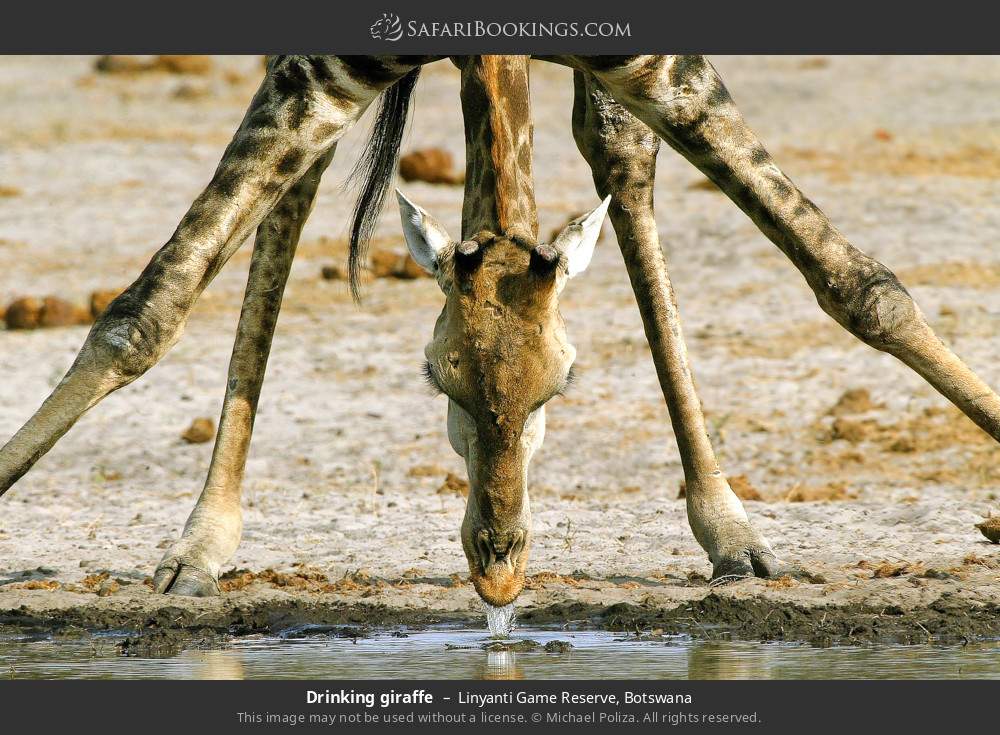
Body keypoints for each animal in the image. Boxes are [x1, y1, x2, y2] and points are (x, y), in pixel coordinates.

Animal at [2, 55, 999, 604]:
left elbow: (851, 276)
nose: (499, 577)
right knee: (291, 187)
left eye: (563, 384)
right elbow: (148, 305)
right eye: (437, 380)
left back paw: (732, 529)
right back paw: (201, 542)